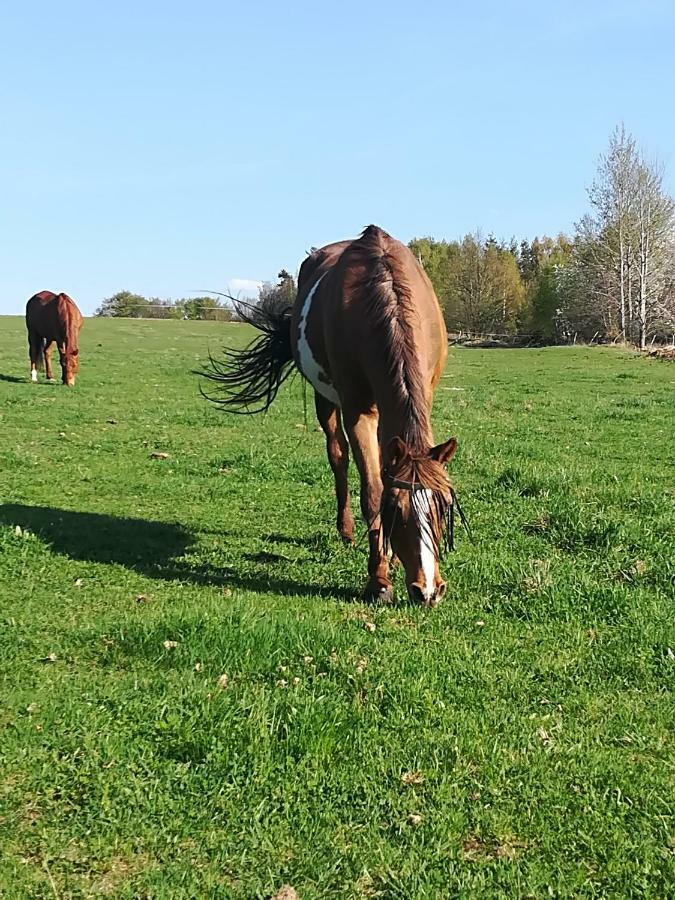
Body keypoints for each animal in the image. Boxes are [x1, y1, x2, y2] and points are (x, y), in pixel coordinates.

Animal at [205, 224, 460, 604]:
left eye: (442, 507)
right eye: (397, 510)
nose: (428, 590)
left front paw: (388, 561)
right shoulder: (357, 411)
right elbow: (372, 491)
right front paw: (378, 580)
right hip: (325, 399)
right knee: (337, 456)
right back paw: (347, 530)